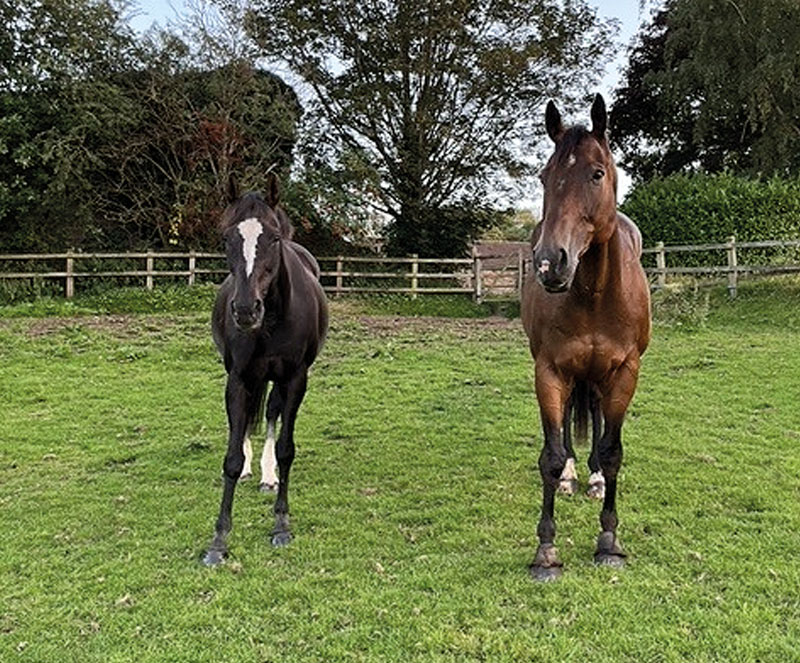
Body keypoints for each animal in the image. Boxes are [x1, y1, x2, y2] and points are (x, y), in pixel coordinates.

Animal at [203, 176, 328, 564]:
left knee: (272, 413)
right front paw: (219, 541)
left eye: (273, 238)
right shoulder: (238, 377)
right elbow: (231, 454)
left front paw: (281, 524)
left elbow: (287, 448)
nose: (245, 310)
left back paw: (268, 476)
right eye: (226, 238)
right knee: (243, 421)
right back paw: (249, 469)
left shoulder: (296, 378)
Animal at [520, 93, 652, 580]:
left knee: (595, 413)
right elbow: (551, 454)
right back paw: (574, 477)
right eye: (545, 176)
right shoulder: (550, 371)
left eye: (596, 173)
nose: (549, 263)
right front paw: (546, 550)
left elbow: (613, 451)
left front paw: (609, 542)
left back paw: (593, 478)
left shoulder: (625, 372)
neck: (594, 292)